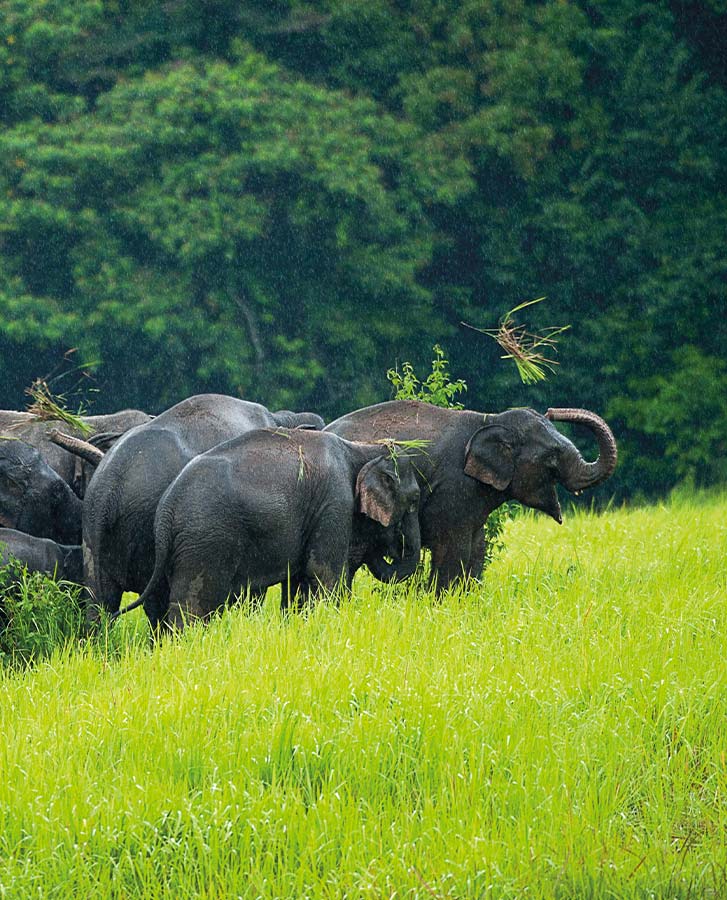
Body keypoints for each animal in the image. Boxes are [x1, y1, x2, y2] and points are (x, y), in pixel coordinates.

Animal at [328, 400, 616, 592]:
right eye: (553, 457)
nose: (553, 410)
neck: (490, 420)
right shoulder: (454, 489)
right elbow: (453, 548)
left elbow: (477, 547)